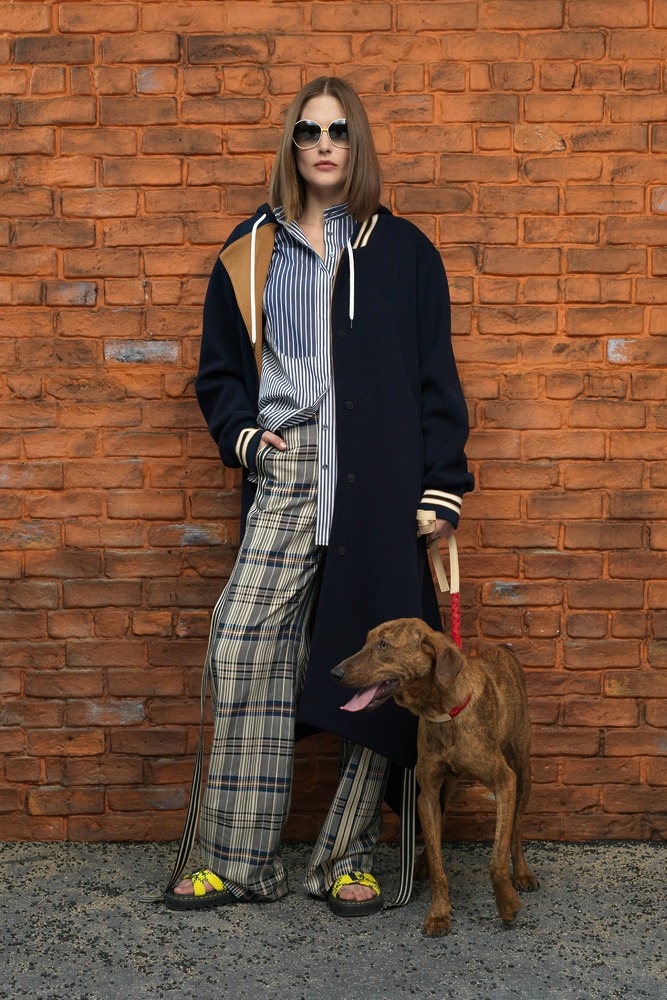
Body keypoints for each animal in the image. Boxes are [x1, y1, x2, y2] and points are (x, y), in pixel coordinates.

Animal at [331, 618, 539, 936]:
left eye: (384, 645)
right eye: (366, 642)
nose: (335, 673)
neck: (443, 712)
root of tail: (502, 650)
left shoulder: (505, 782)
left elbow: (496, 858)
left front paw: (506, 904)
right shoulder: (427, 793)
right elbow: (438, 858)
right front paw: (439, 913)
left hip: (523, 770)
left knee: (515, 831)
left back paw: (523, 873)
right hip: (445, 789)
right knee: (436, 831)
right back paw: (422, 864)